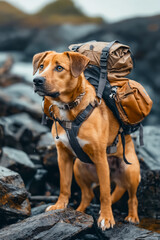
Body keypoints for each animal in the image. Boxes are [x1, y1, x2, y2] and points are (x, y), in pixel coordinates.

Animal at [32, 50, 140, 231]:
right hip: (79, 167)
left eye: (59, 68)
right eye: (41, 66)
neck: (69, 109)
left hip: (130, 172)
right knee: (88, 194)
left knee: (132, 198)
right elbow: (64, 185)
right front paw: (59, 206)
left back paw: (132, 216)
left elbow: (105, 194)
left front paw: (106, 218)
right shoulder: (63, 156)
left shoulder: (100, 158)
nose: (37, 80)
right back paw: (79, 212)